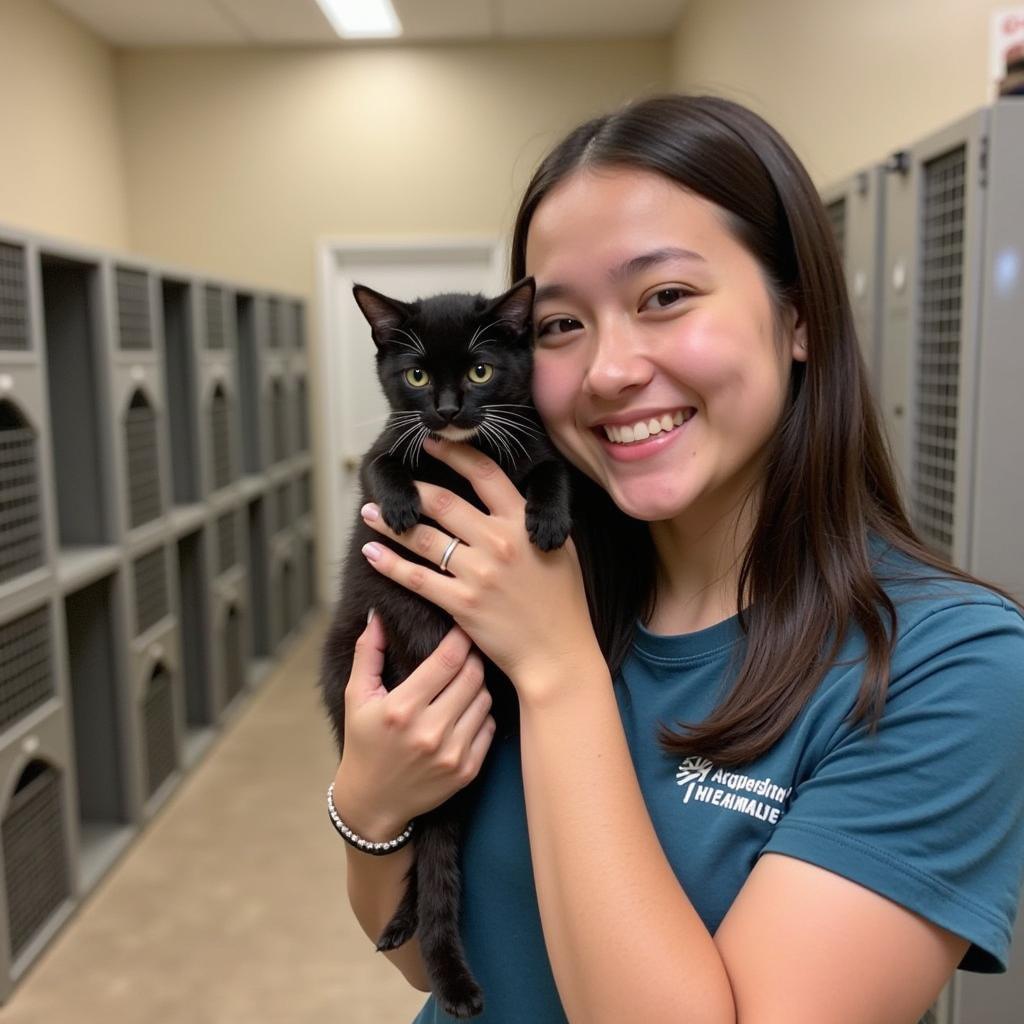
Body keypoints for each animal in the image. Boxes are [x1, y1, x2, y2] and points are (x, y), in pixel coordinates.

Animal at [317, 274, 573, 1015]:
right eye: (417, 375)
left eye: (482, 371)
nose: (449, 408)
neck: (465, 457)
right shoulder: (385, 449)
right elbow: (379, 475)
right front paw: (405, 509)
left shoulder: (531, 443)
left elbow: (550, 470)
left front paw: (548, 522)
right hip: (340, 673)